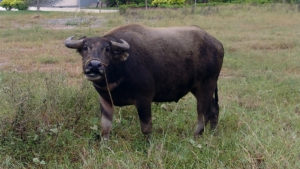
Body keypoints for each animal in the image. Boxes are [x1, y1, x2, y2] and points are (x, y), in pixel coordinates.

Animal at [66, 23, 225, 140]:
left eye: (107, 49)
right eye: (85, 48)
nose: (94, 65)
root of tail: (217, 44)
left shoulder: (144, 99)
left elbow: (146, 127)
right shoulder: (105, 100)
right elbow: (105, 127)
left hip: (206, 85)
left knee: (202, 113)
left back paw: (195, 136)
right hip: (199, 88)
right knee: (213, 109)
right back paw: (213, 134)